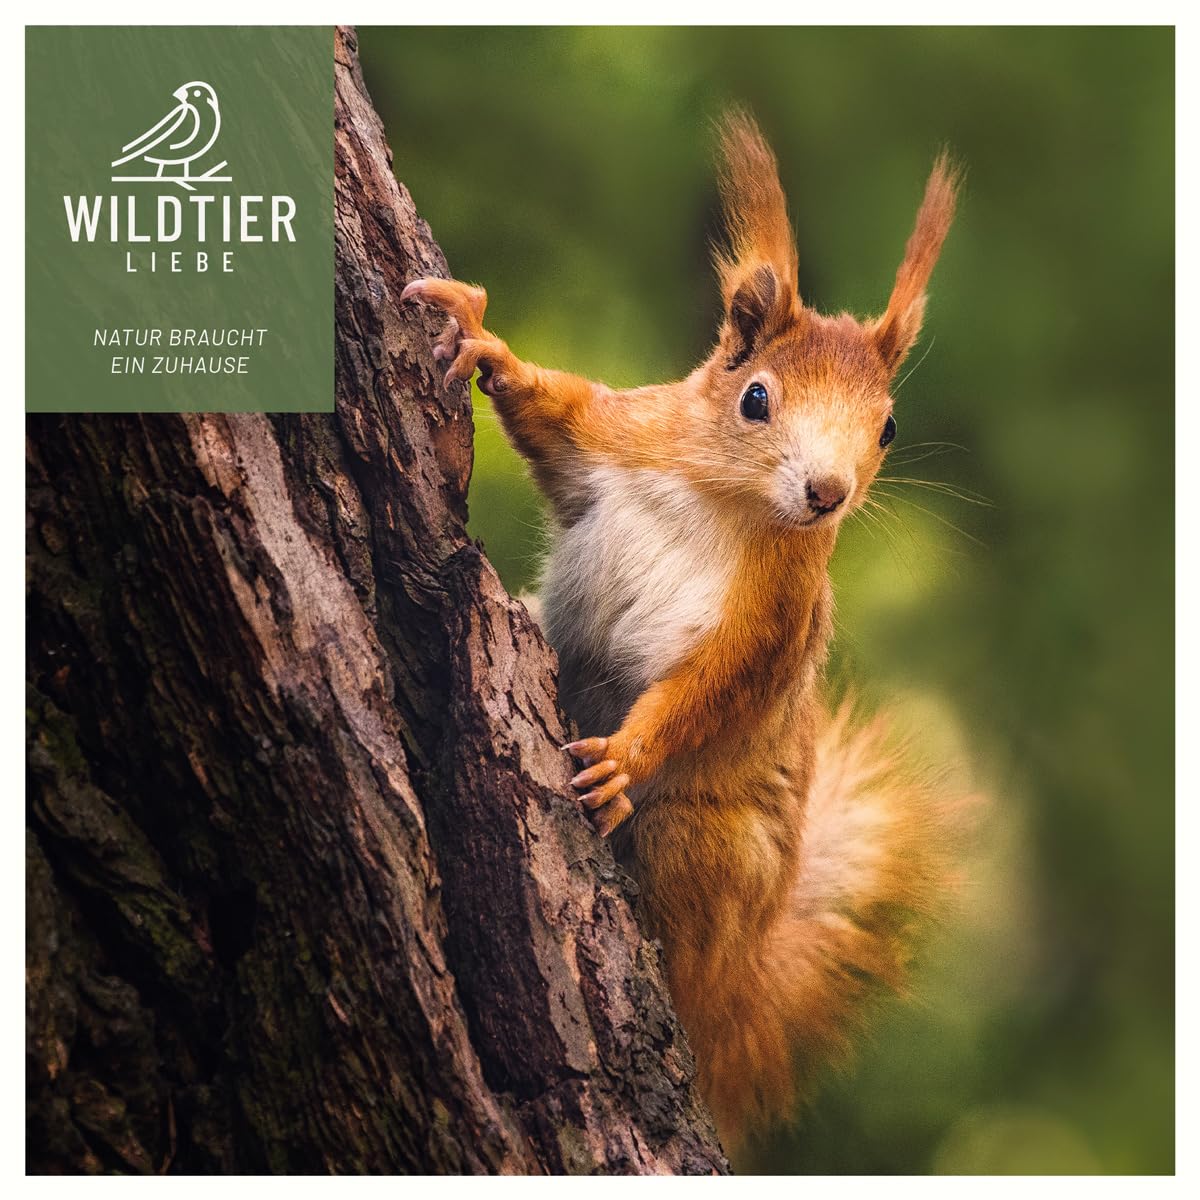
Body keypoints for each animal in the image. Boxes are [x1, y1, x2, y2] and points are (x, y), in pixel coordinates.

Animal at [403, 113, 966, 1148]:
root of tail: (737, 988)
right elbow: (555, 413)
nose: (828, 494)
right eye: (756, 397)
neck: (726, 500)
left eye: (889, 428)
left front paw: (625, 757)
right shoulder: (619, 437)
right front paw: (483, 341)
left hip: (706, 850)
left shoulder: (771, 623)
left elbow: (708, 691)